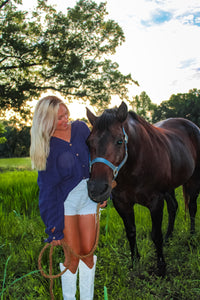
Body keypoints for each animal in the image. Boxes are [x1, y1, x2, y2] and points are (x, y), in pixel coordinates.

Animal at [86, 101, 200, 276]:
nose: (97, 189)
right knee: (174, 207)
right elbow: (131, 232)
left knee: (192, 208)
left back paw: (192, 237)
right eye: (88, 142)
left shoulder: (156, 201)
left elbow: (156, 235)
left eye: (119, 141)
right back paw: (169, 237)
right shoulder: (122, 203)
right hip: (170, 188)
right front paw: (135, 261)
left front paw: (161, 267)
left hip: (193, 180)